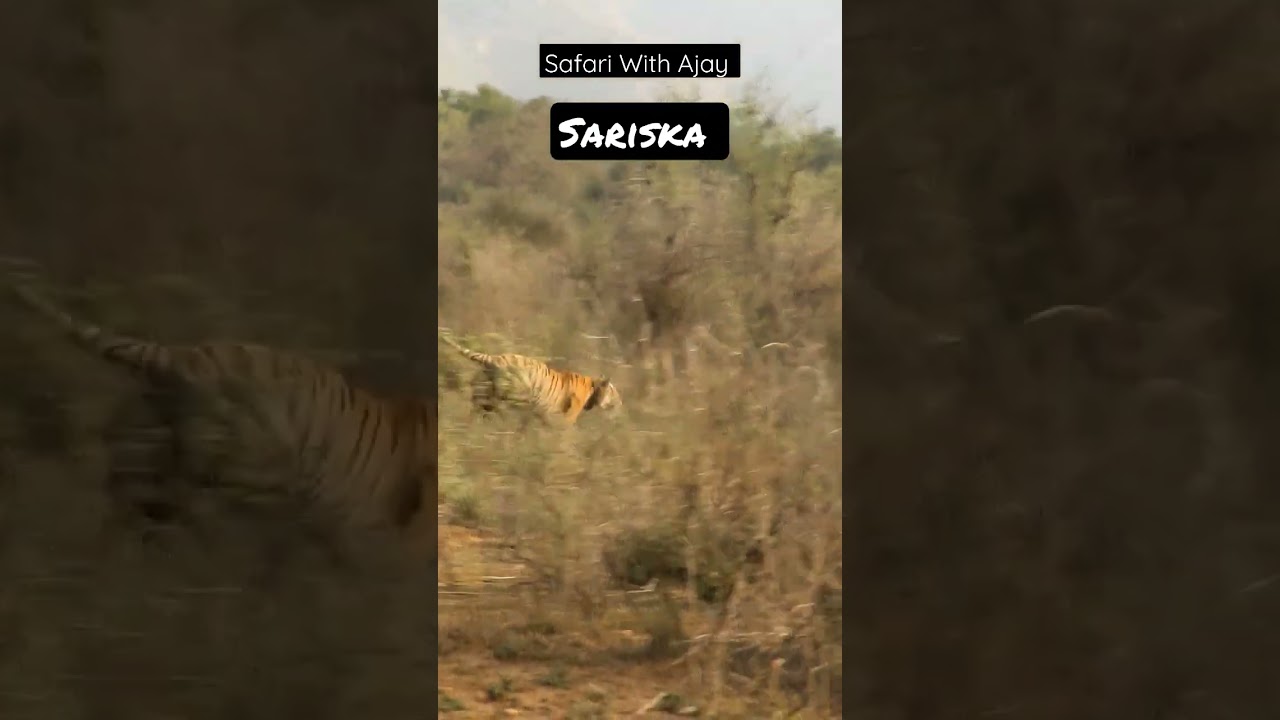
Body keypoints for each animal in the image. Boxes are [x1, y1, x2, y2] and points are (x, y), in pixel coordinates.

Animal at [438, 331, 621, 425]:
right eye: (615, 394)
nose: (621, 404)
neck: (593, 388)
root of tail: (492, 358)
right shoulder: (566, 417)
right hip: (518, 392)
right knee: (506, 407)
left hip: (482, 394)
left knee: (478, 412)